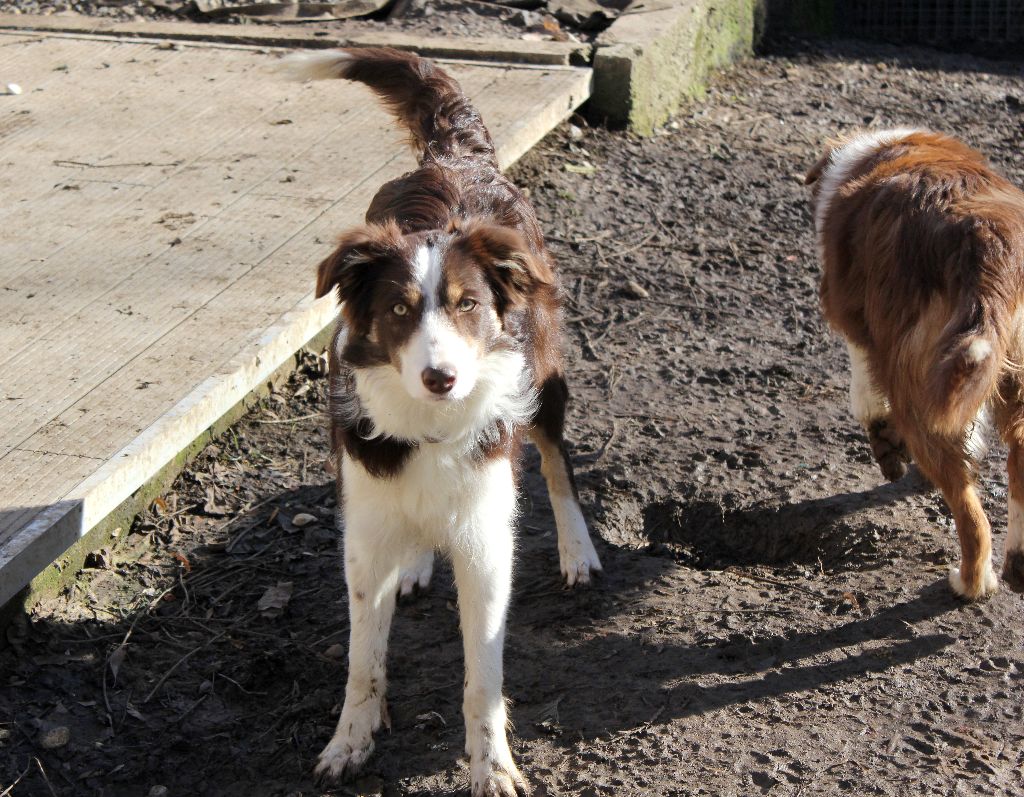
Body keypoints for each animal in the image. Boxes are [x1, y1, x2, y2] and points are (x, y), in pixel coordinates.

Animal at [284, 48, 602, 794]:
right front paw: (350, 738)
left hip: (544, 380)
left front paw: (493, 765)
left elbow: (482, 676)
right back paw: (419, 563)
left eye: (466, 304)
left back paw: (578, 549)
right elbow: (362, 659)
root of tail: (452, 156)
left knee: (557, 462)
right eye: (399, 309)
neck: (427, 423)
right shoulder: (365, 534)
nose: (441, 377)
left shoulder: (487, 544)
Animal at [806, 130, 1024, 598]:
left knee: (968, 509)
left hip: (917, 386)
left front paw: (885, 442)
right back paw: (1017, 563)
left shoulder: (854, 319)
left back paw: (971, 581)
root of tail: (988, 245)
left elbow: (863, 392)